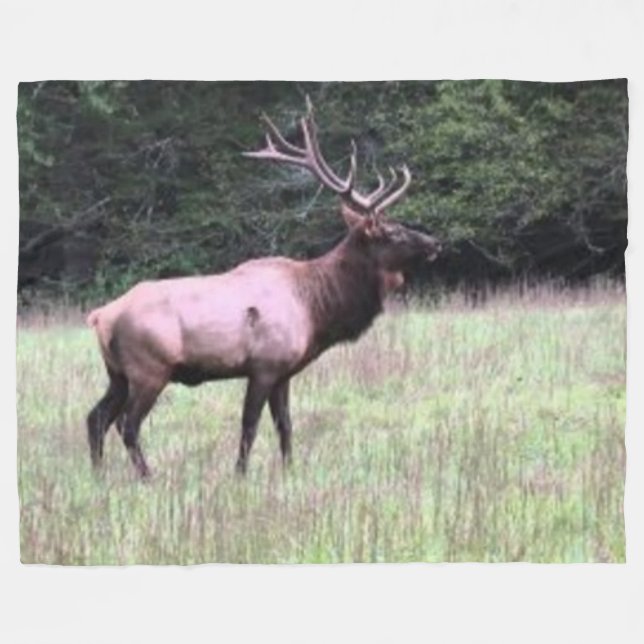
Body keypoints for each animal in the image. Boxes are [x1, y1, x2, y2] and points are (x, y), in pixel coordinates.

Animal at [86, 100, 441, 478]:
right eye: (393, 232)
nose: (435, 242)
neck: (316, 308)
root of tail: (101, 316)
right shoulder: (264, 365)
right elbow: (250, 426)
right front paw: (240, 474)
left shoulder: (284, 371)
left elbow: (285, 424)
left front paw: (290, 470)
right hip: (150, 368)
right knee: (126, 424)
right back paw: (148, 476)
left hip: (118, 373)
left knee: (96, 417)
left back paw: (98, 475)